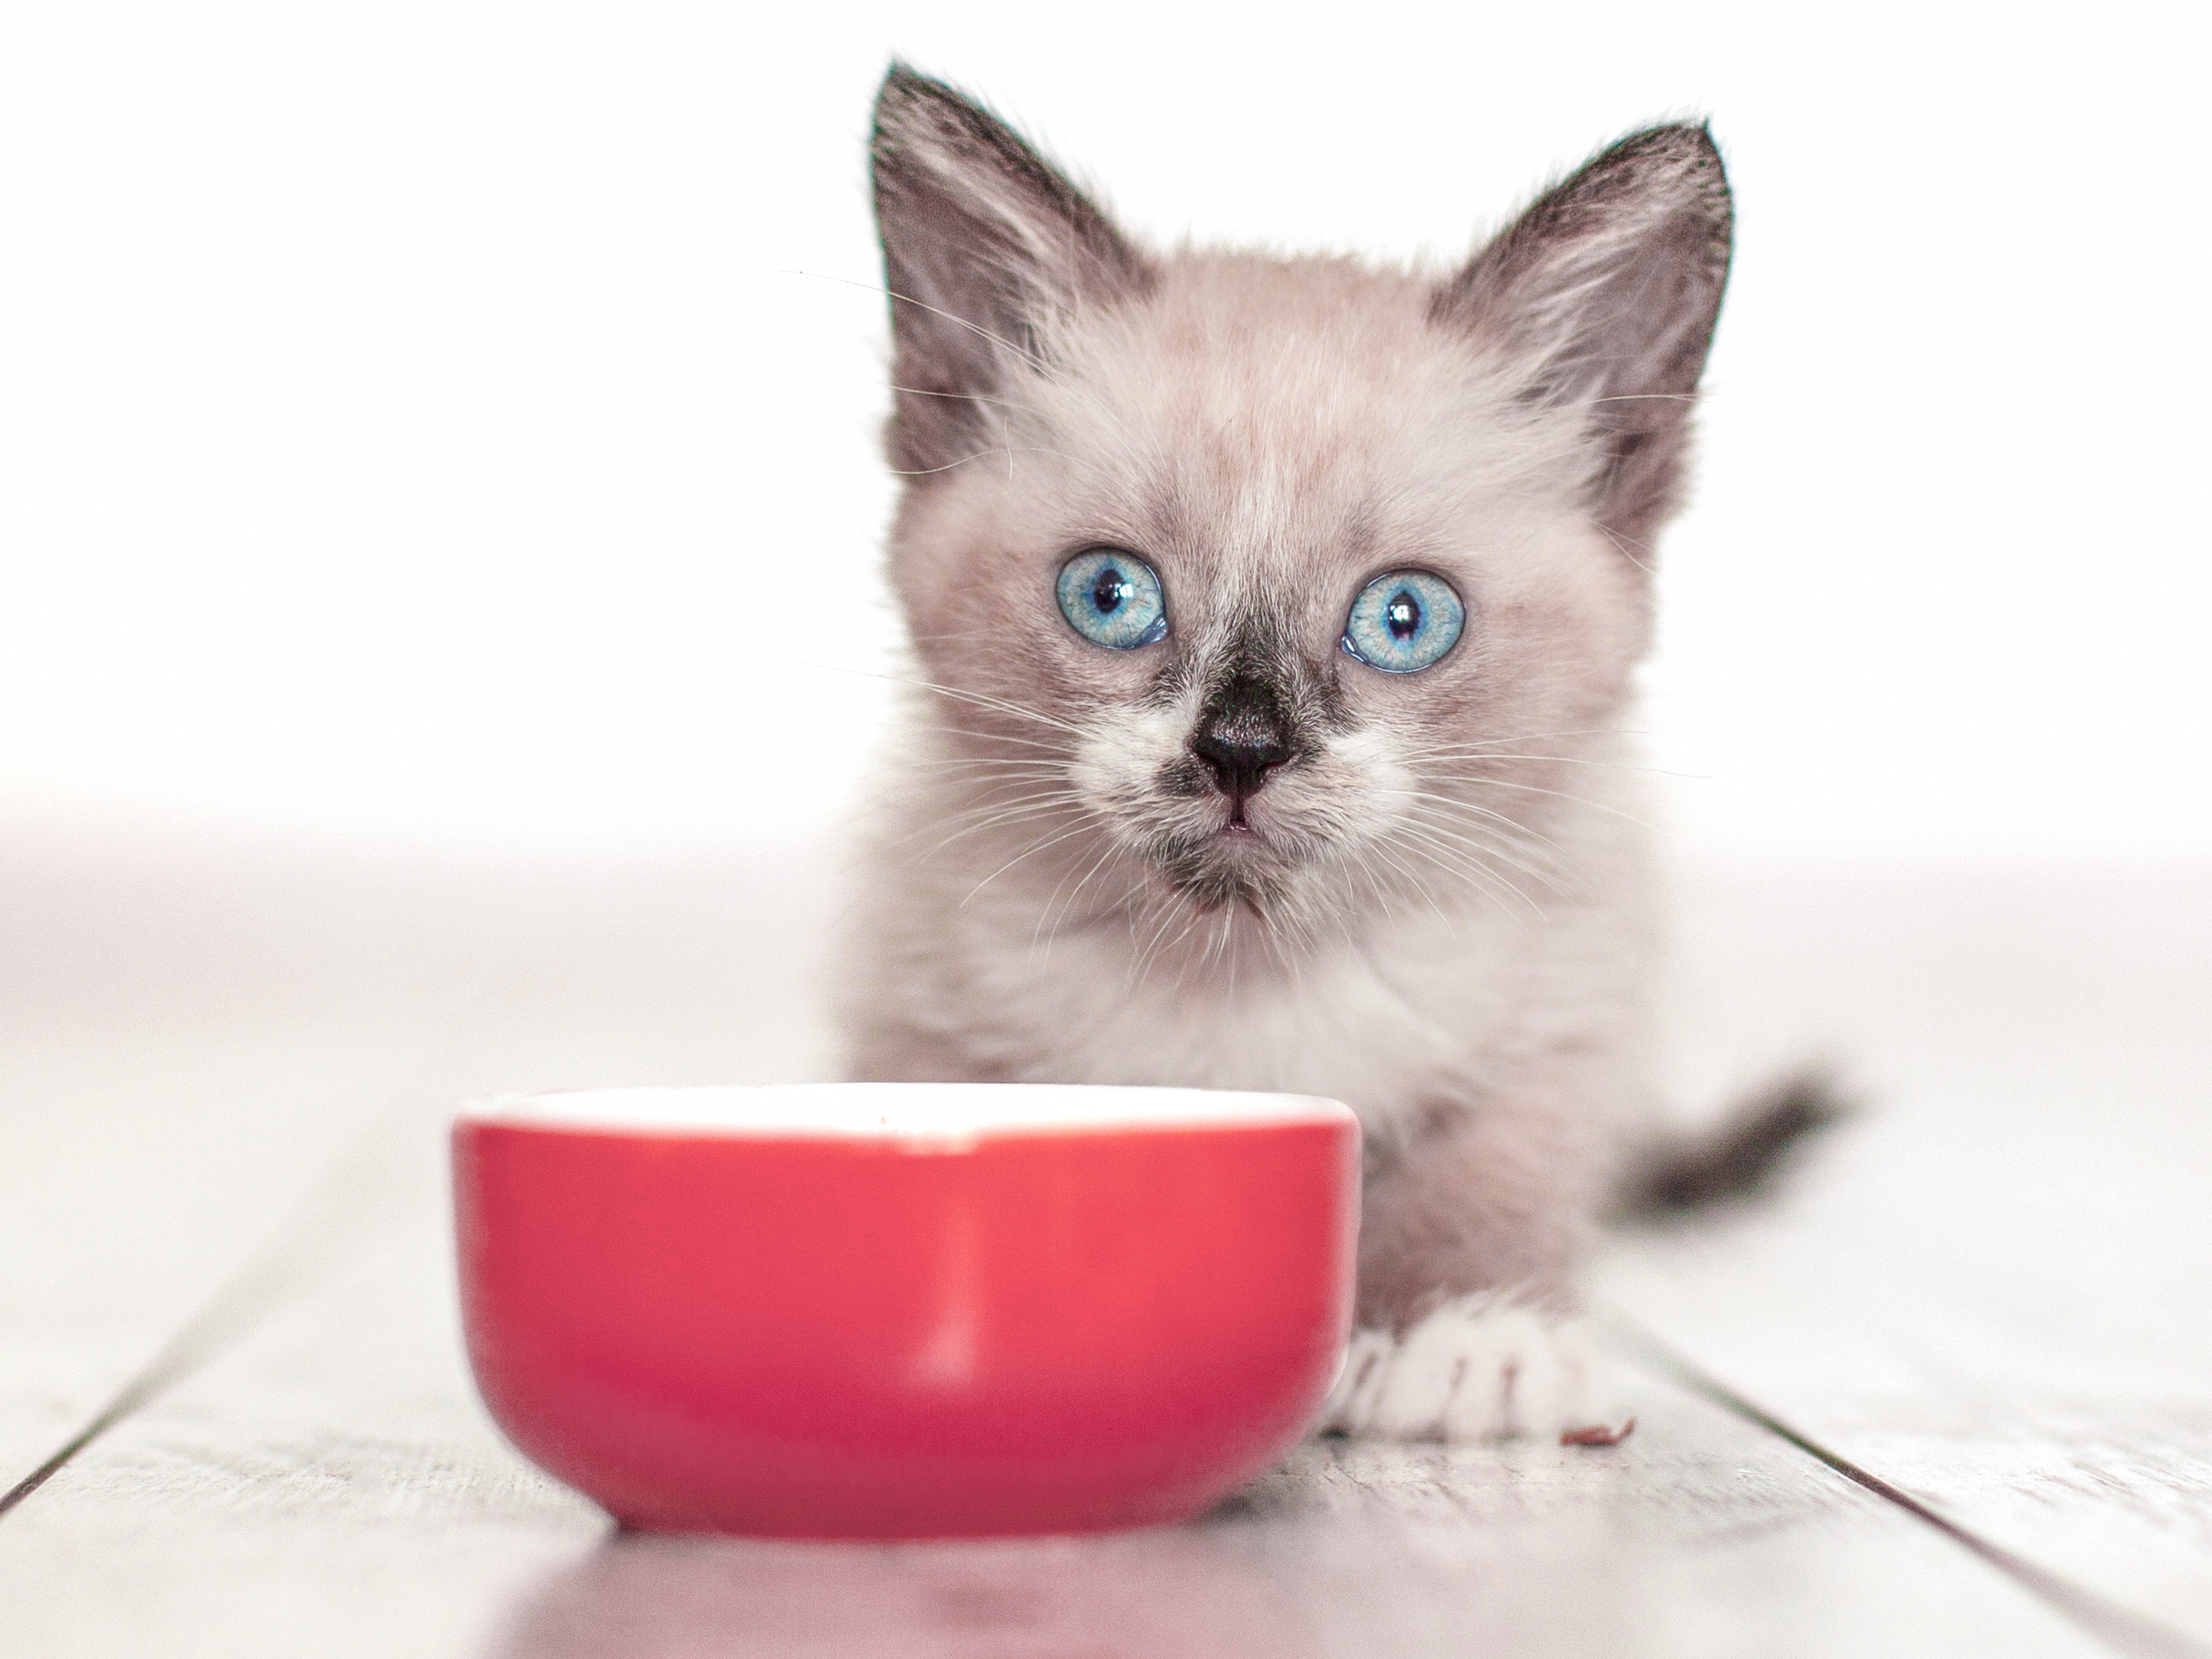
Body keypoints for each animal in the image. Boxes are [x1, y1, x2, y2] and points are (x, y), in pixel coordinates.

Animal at [836, 65, 1823, 1442]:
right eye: (1109, 597)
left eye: (1404, 620)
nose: (1242, 748)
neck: (1251, 981)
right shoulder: (917, 1015)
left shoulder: (1561, 1023)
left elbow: (1486, 1180)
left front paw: (1466, 1342)